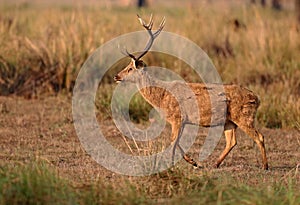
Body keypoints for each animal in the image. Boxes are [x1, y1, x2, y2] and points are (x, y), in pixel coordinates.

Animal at [113, 14, 268, 170]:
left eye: (130, 69)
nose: (116, 76)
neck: (161, 98)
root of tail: (257, 98)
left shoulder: (177, 117)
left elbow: (173, 141)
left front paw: (173, 164)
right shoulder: (182, 121)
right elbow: (176, 141)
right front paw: (193, 162)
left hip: (244, 116)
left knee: (259, 136)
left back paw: (265, 166)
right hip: (229, 121)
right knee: (232, 141)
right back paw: (215, 163)